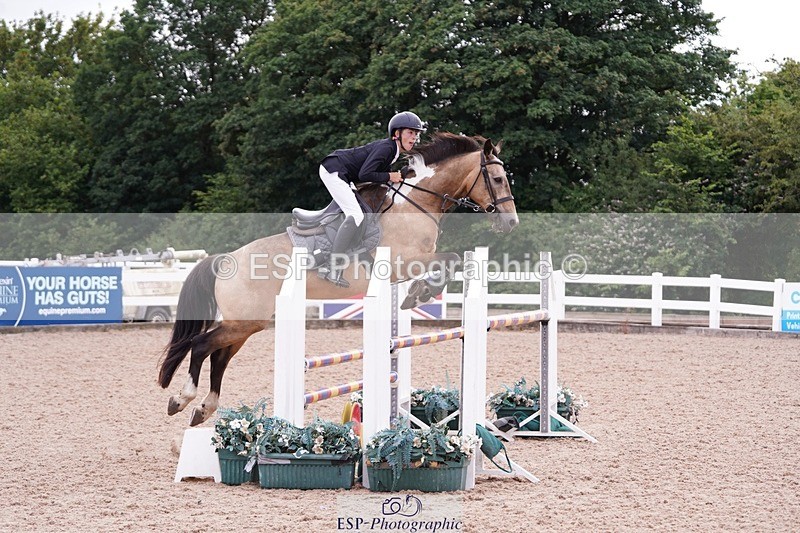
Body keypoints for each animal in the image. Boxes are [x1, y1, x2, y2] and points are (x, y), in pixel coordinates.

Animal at [158, 132, 519, 426]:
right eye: (498, 178)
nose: (511, 223)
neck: (416, 204)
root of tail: (225, 260)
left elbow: (452, 262)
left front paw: (416, 294)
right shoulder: (403, 262)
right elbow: (451, 260)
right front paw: (419, 293)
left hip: (247, 322)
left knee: (219, 355)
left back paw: (203, 409)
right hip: (245, 320)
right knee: (201, 345)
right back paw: (182, 399)